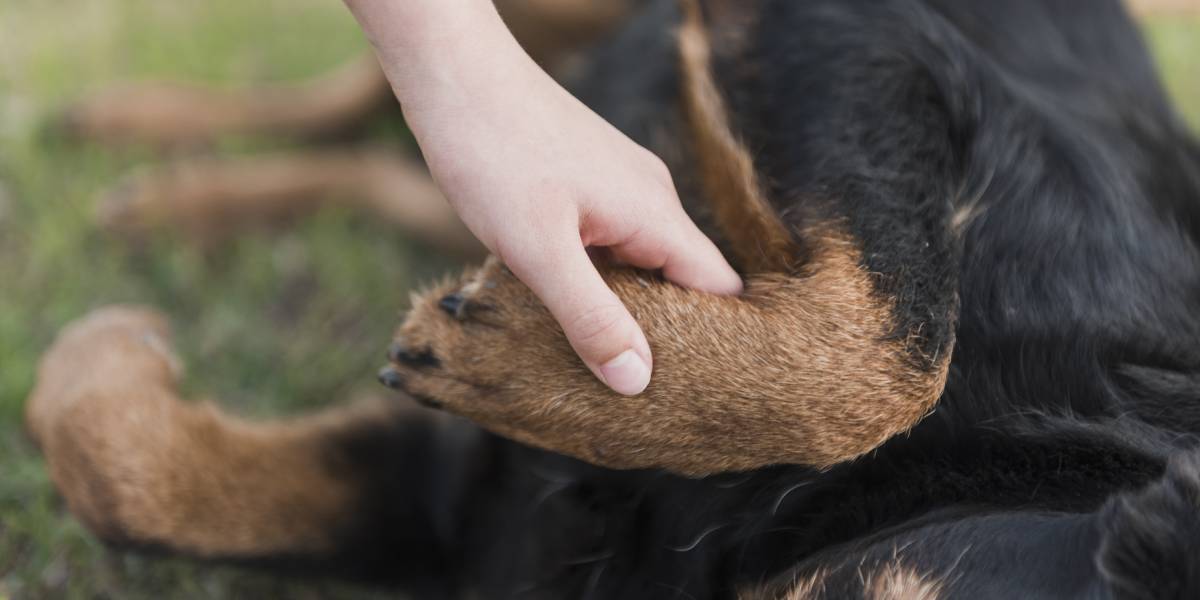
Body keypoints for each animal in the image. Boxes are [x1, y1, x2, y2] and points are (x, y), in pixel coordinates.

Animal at [23, 0, 1200, 597]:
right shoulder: (876, 49)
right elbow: (896, 337)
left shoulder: (459, 514)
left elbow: (130, 469)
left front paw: (104, 358)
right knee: (363, 96)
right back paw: (144, 132)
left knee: (393, 156)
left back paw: (182, 198)